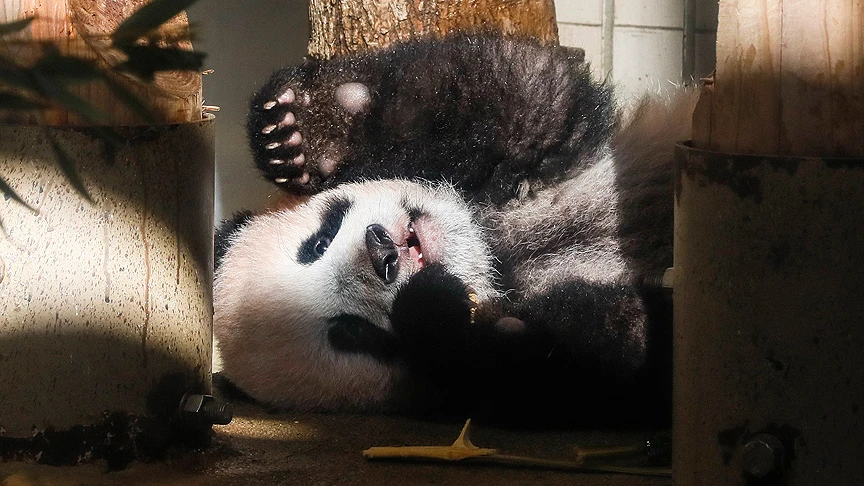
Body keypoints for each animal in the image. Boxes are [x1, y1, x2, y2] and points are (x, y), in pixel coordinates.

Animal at [215, 33, 697, 425]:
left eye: (318, 242)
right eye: (350, 333)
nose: (384, 255)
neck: (498, 250)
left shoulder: (568, 146)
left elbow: (516, 90)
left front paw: (305, 129)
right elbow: (592, 370)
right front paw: (436, 306)